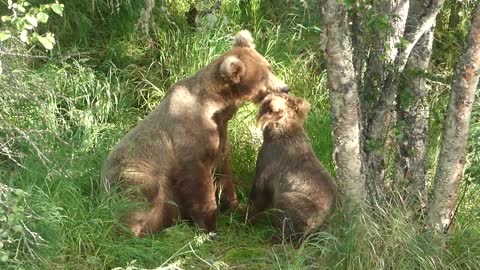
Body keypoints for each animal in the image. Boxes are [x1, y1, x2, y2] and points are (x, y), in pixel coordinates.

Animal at [101, 30, 288, 236]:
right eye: (263, 77)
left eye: (270, 67)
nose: (285, 88)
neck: (217, 106)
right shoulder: (190, 139)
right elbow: (198, 181)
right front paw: (209, 224)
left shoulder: (219, 134)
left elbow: (224, 172)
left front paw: (235, 205)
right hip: (136, 174)